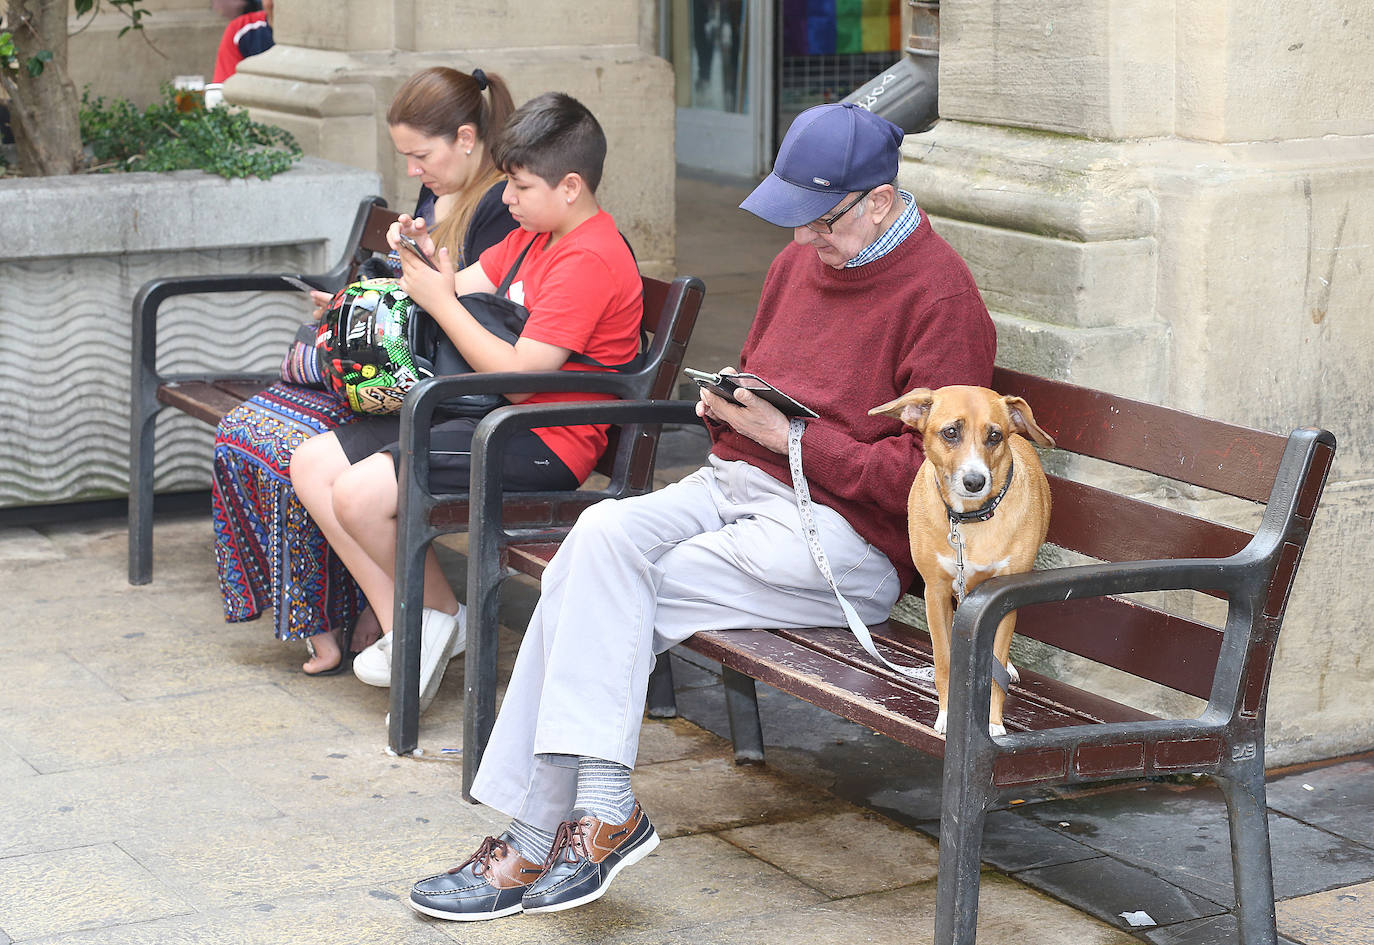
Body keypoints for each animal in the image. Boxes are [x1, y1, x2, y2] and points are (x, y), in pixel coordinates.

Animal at [873, 384, 1055, 736]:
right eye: (950, 432)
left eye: (995, 436)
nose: (974, 481)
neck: (969, 521)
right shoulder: (936, 593)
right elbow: (944, 662)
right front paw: (948, 713)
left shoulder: (1002, 601)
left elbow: (993, 673)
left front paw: (993, 724)